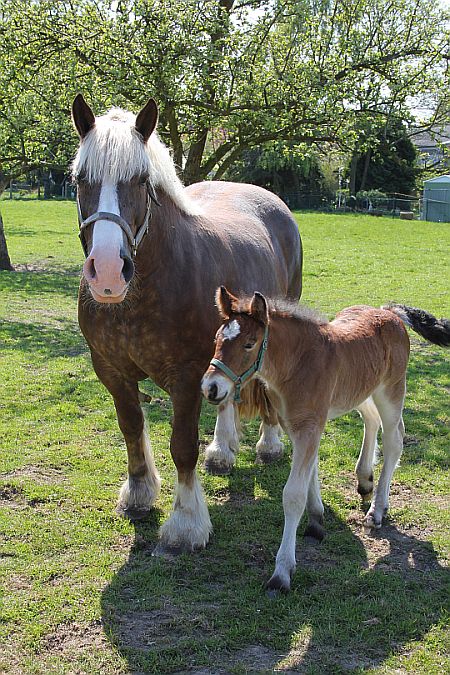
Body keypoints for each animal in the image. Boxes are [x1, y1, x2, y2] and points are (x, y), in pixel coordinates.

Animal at [71, 95, 302, 552]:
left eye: (141, 179)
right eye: (79, 178)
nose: (107, 273)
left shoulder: (186, 375)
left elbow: (182, 446)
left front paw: (186, 523)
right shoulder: (110, 370)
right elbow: (131, 426)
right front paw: (139, 492)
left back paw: (268, 445)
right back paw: (223, 451)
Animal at [202, 286, 448, 592]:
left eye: (249, 344)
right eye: (216, 339)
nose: (210, 388)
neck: (297, 364)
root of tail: (389, 312)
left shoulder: (309, 426)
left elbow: (292, 495)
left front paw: (282, 572)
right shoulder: (299, 425)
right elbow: (311, 471)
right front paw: (316, 520)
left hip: (391, 390)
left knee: (394, 439)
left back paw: (377, 510)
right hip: (358, 389)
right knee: (371, 419)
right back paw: (365, 479)